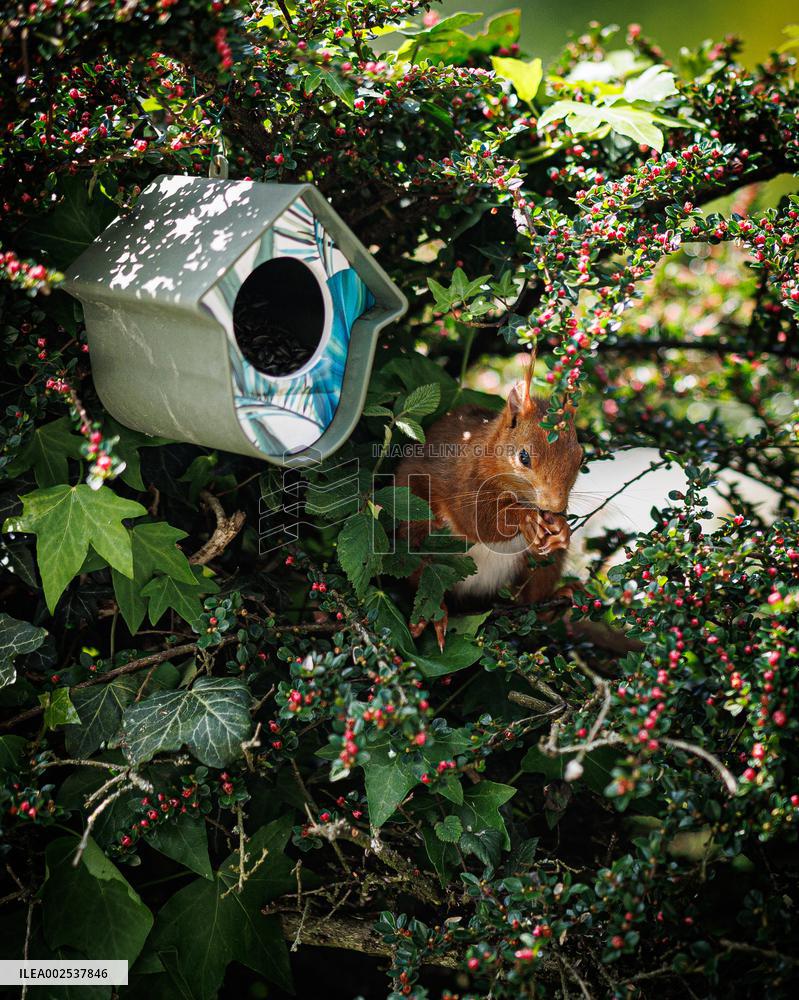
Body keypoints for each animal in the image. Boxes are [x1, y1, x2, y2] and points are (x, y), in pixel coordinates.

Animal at [395, 365, 583, 650]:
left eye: (580, 457)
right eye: (523, 457)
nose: (555, 505)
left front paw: (561, 528)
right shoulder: (464, 482)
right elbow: (477, 521)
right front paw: (525, 518)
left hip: (536, 571)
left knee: (533, 599)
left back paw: (559, 598)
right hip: (414, 527)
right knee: (421, 574)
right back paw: (433, 614)